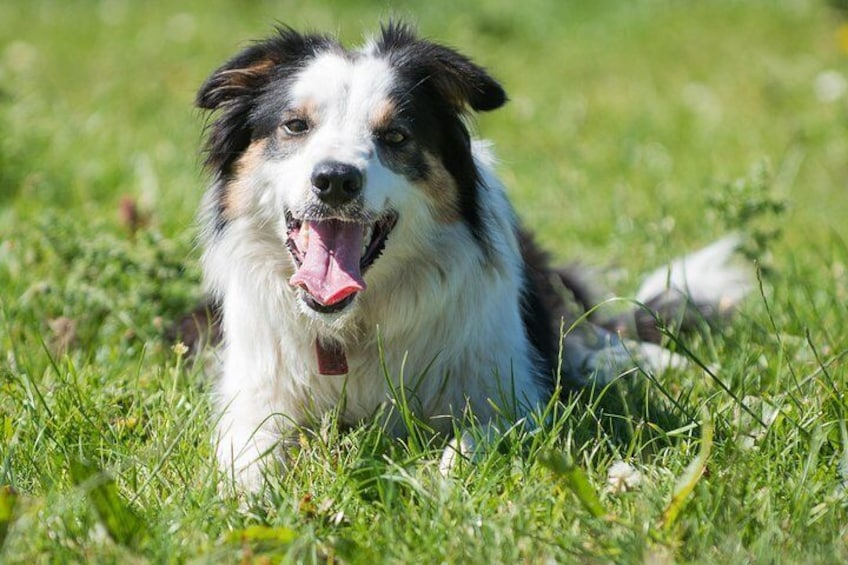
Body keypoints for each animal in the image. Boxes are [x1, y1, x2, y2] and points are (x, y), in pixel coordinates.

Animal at [195, 22, 752, 490]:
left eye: (395, 135)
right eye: (295, 125)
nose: (334, 179)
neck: (352, 324)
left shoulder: (511, 397)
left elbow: (469, 444)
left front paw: (434, 484)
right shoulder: (256, 398)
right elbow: (249, 455)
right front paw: (251, 502)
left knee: (593, 337)